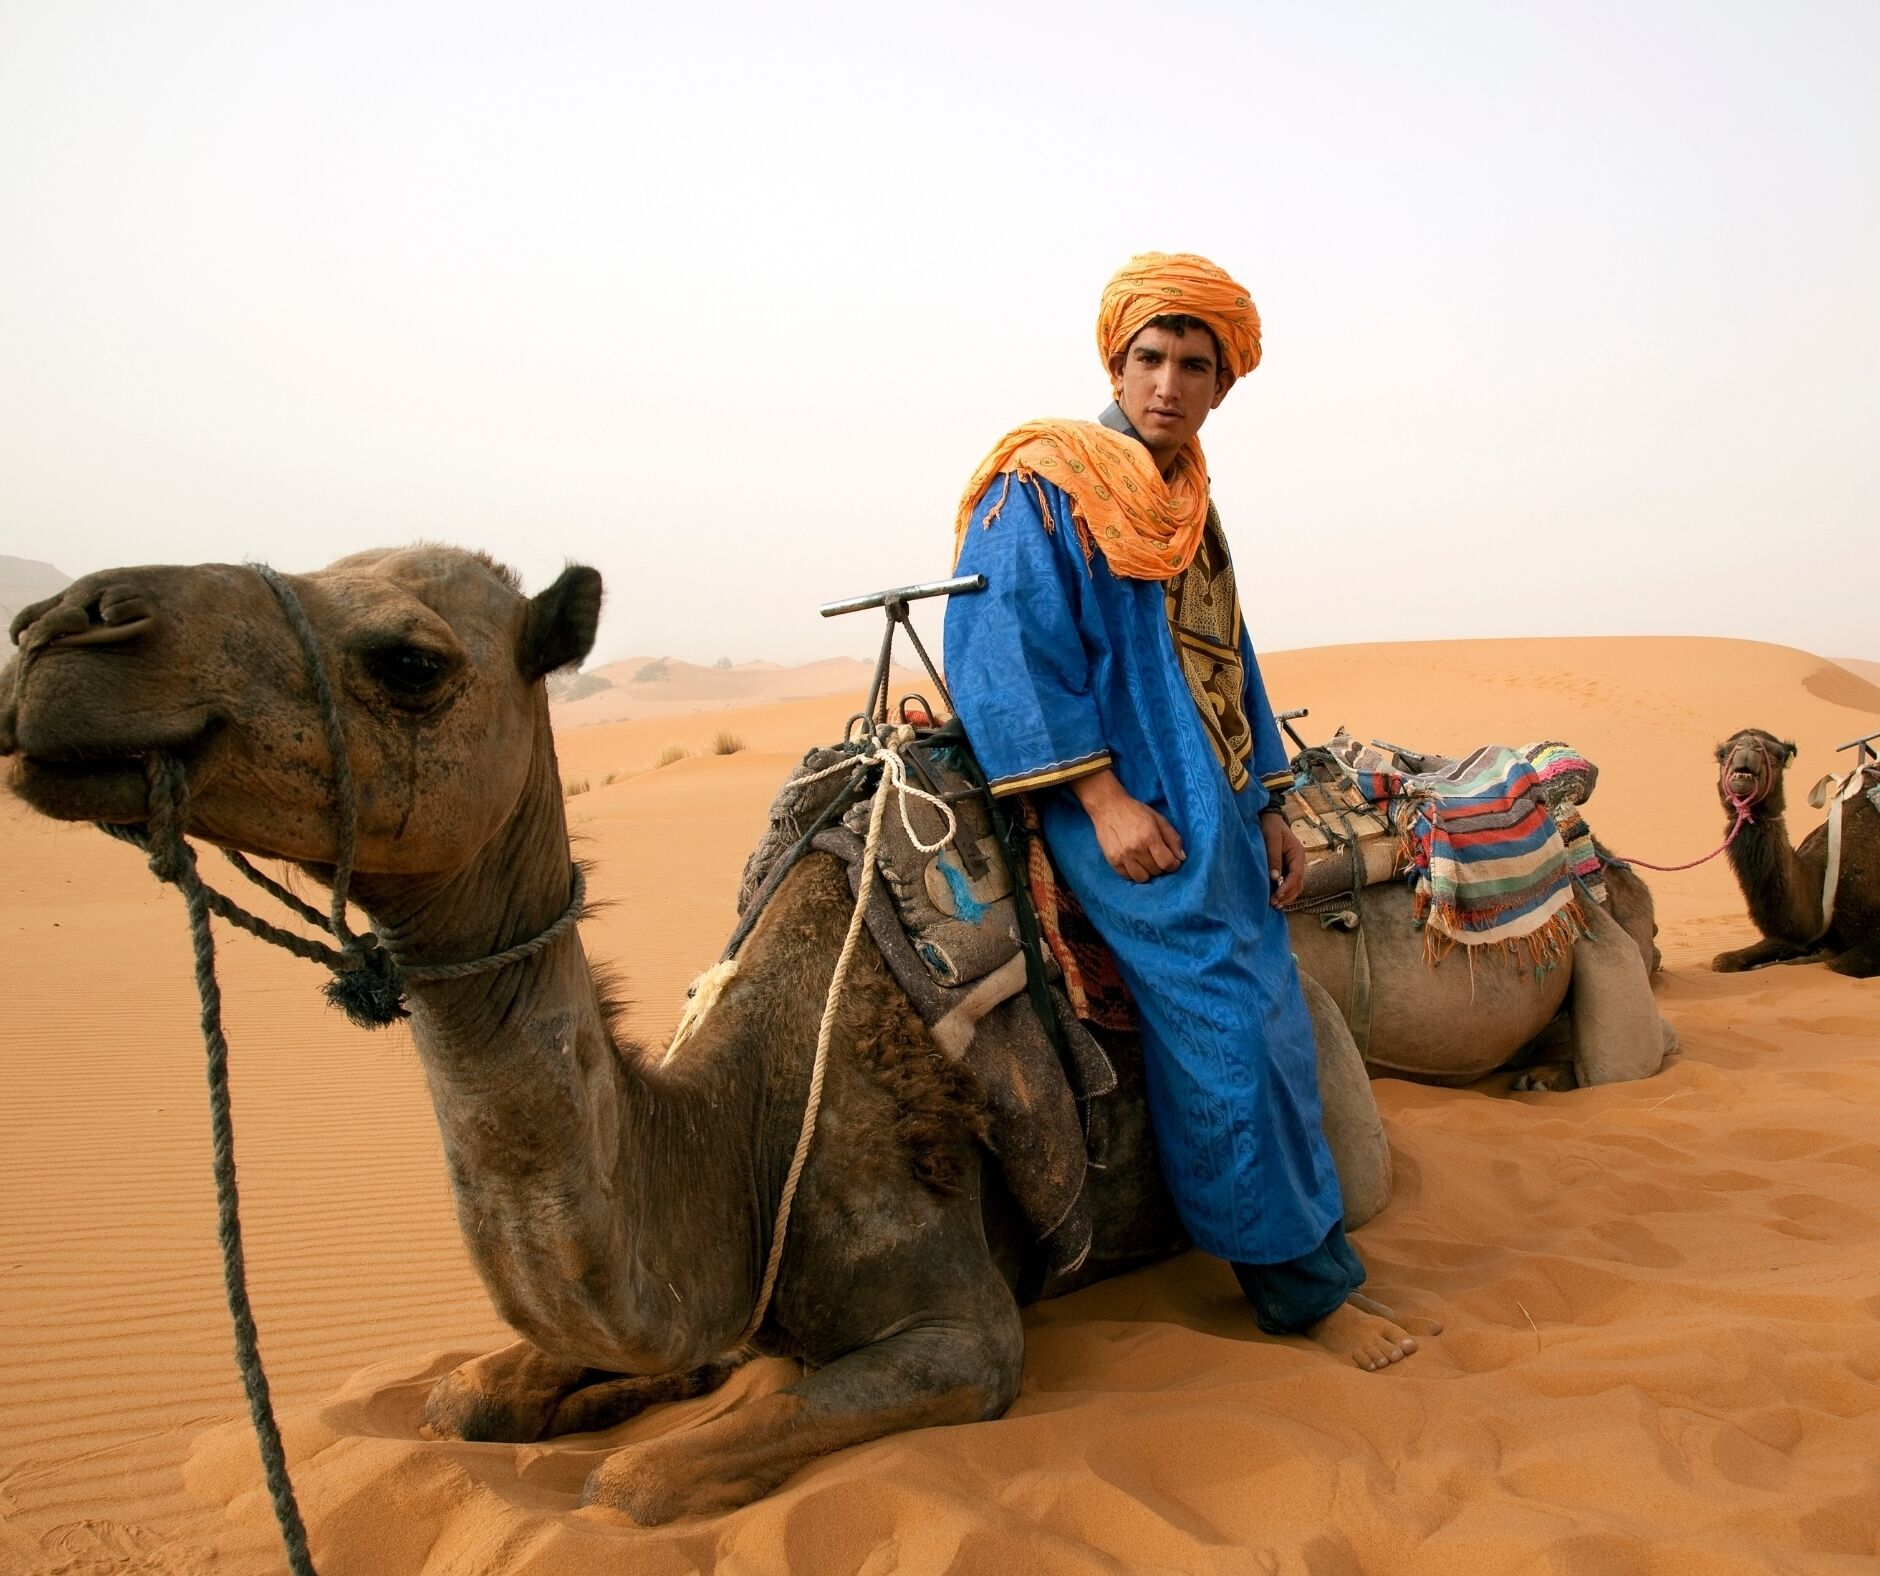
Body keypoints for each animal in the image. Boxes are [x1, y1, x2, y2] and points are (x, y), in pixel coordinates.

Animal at [0, 546, 1408, 1528]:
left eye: (409, 660)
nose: (58, 629)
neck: (737, 1134)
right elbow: (467, 1393)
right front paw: (599, 1388)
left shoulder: (964, 1331)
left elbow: (631, 1486)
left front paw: (636, 1427)